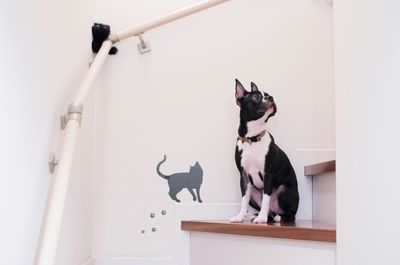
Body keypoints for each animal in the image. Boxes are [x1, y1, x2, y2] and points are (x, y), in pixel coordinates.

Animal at [230, 80, 298, 223]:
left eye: (267, 94)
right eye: (256, 97)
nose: (271, 97)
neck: (253, 139)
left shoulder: (268, 174)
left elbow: (266, 198)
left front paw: (261, 218)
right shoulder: (244, 177)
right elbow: (243, 200)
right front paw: (240, 216)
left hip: (283, 190)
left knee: (289, 214)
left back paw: (276, 217)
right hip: (253, 192)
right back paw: (254, 216)